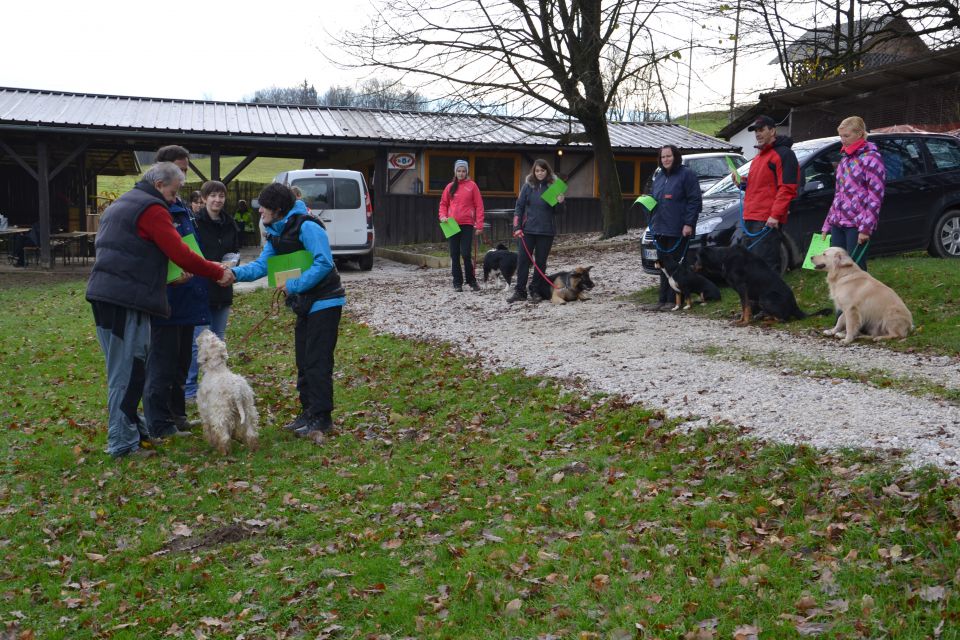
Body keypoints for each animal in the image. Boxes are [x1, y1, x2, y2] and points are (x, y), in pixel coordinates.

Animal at [688, 245, 832, 324]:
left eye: (696, 258)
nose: (691, 267)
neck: (723, 258)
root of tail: (794, 306)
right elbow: (745, 307)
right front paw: (743, 319)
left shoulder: (742, 288)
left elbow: (745, 307)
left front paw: (744, 322)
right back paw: (762, 316)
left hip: (765, 297)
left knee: (783, 319)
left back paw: (766, 320)